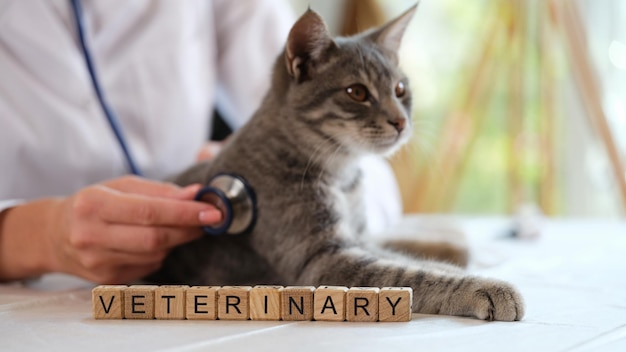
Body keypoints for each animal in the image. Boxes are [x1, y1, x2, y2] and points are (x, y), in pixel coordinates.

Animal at [150, 5, 520, 322]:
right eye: (357, 92)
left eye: (400, 89)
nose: (401, 122)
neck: (343, 176)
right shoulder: (321, 261)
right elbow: (410, 273)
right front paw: (484, 287)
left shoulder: (358, 240)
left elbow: (409, 259)